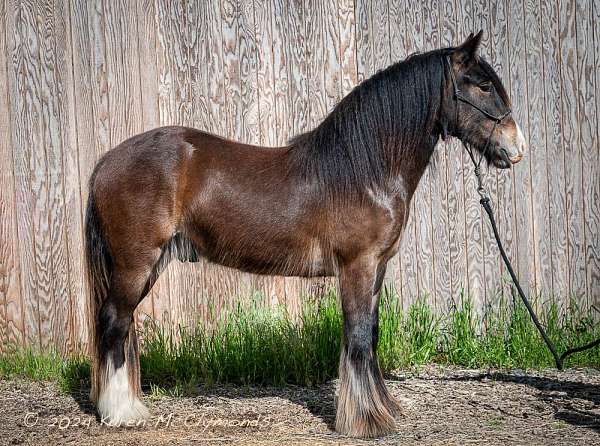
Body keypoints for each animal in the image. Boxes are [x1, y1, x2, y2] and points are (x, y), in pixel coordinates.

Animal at [83, 32, 524, 440]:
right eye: (483, 85)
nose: (516, 147)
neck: (364, 172)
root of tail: (106, 162)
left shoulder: (377, 268)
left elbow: (371, 334)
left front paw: (383, 408)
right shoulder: (357, 267)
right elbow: (358, 336)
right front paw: (365, 422)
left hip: (150, 265)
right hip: (136, 263)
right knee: (114, 322)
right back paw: (121, 413)